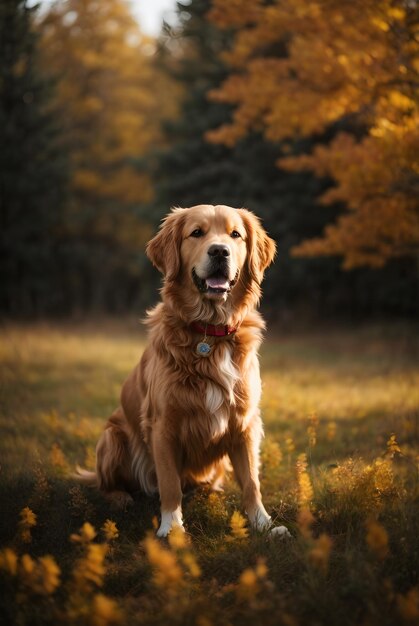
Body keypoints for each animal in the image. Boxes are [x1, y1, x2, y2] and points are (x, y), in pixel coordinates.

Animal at [78, 205, 288, 536]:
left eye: (235, 234)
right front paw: (172, 529)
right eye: (196, 233)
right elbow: (169, 485)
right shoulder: (163, 426)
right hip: (112, 437)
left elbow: (252, 483)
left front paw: (264, 525)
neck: (210, 333)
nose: (220, 251)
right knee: (106, 484)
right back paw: (120, 498)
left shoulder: (245, 424)